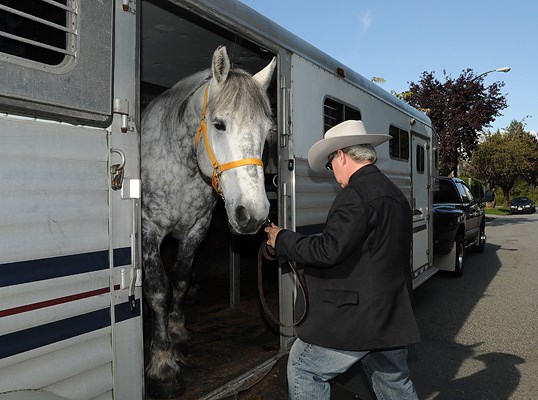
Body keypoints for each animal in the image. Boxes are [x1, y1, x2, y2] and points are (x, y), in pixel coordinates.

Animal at [140, 46, 274, 396]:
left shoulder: (196, 229)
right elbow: (158, 289)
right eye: (219, 124)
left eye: (267, 131)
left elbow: (180, 280)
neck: (181, 165)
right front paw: (163, 366)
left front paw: (177, 334)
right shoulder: (148, 228)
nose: (254, 213)